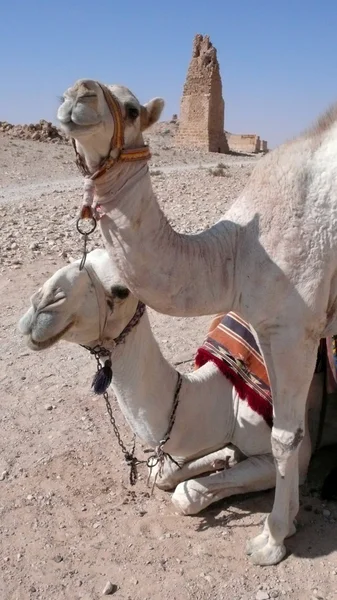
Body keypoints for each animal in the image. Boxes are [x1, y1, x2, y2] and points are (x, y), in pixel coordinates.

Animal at [19, 251, 322, 516]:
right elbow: (161, 473)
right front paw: (223, 456)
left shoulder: (295, 455)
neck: (228, 392)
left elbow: (185, 496)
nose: (40, 306)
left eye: (120, 291)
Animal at [55, 82, 336, 564]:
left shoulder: (295, 327)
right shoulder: (266, 326)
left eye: (132, 109)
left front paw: (274, 537)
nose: (79, 94)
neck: (234, 254)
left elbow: (285, 439)